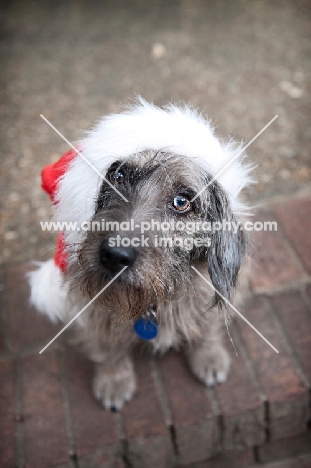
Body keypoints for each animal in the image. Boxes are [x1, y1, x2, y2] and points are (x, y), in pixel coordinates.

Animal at [29, 98, 254, 410]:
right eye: (117, 175)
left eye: (182, 201)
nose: (114, 256)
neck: (152, 304)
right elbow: (108, 344)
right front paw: (114, 379)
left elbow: (207, 325)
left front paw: (209, 356)